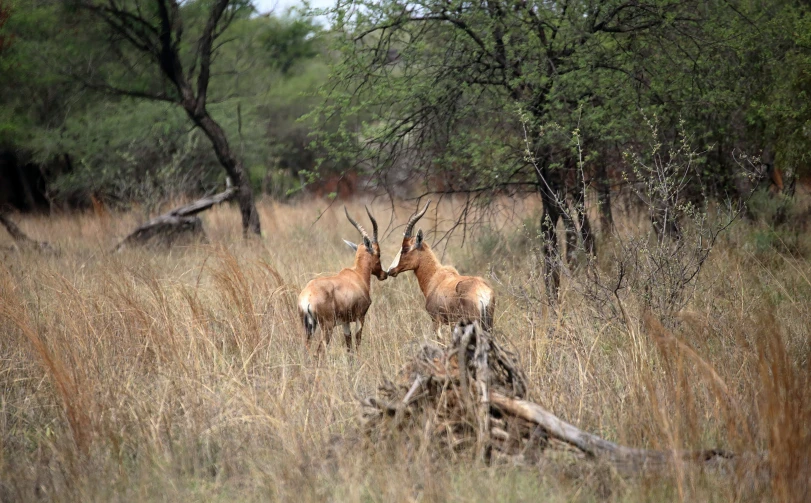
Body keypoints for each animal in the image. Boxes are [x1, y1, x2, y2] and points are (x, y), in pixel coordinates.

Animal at [298, 207, 386, 352]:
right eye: (378, 253)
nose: (383, 274)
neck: (357, 275)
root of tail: (307, 297)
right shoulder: (360, 317)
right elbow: (357, 343)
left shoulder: (345, 322)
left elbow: (349, 345)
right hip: (327, 327)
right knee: (319, 352)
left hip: (308, 328)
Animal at [386, 200, 494, 334]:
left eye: (405, 248)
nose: (390, 270)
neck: (435, 276)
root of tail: (482, 291)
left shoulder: (437, 321)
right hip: (488, 325)